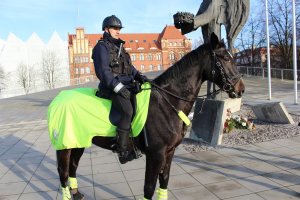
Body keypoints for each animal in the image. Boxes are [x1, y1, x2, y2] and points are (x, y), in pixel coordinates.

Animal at [55, 33, 245, 200]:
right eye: (225, 58)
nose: (241, 89)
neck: (168, 102)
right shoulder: (156, 154)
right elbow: (149, 187)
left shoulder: (169, 152)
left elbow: (164, 181)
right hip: (64, 145)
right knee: (63, 173)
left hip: (78, 142)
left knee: (72, 168)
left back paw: (77, 194)